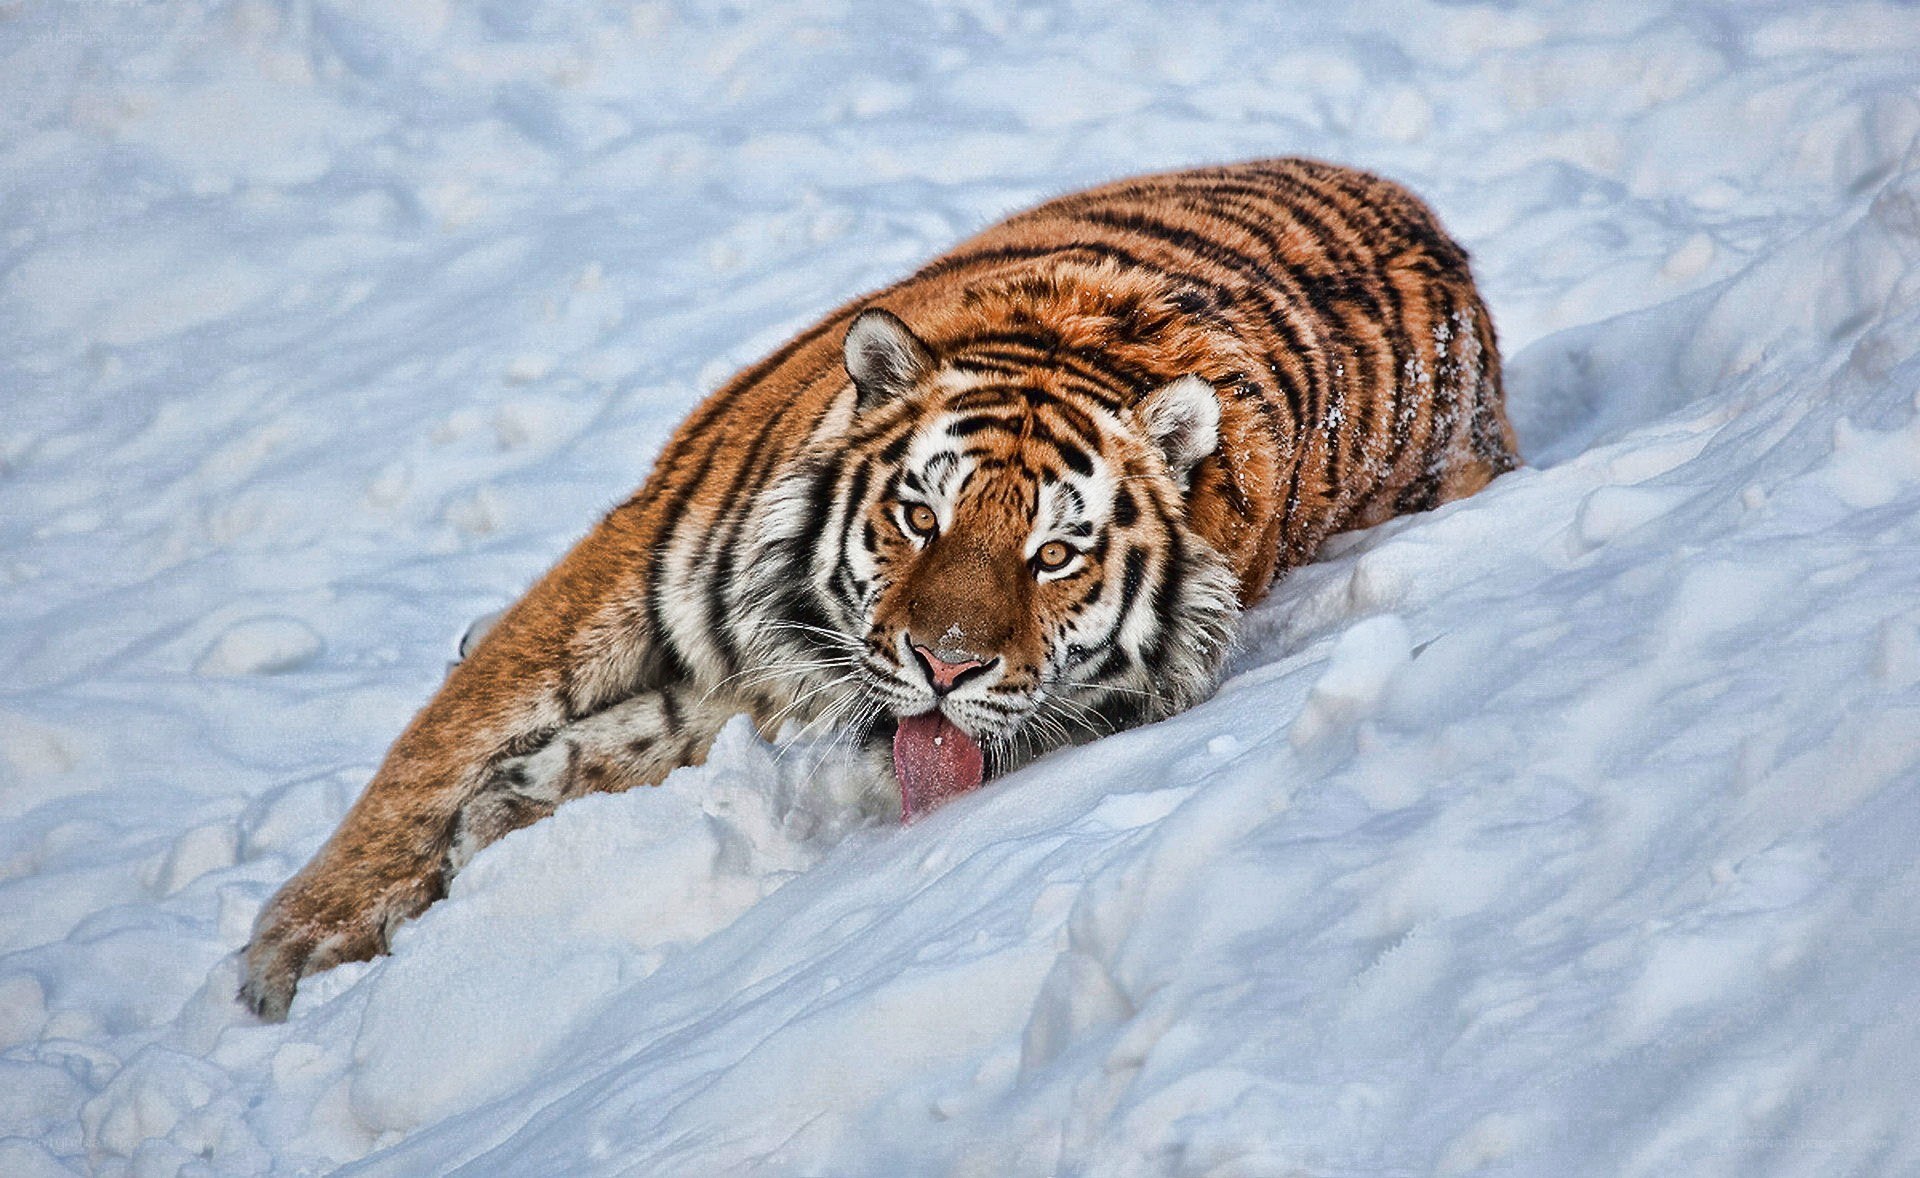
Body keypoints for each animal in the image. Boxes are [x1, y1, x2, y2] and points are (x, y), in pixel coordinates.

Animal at [240, 157, 1519, 1020]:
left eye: (1055, 556)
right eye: (919, 516)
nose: (946, 664)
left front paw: (506, 806)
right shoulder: (636, 560)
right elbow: (434, 745)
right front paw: (293, 947)